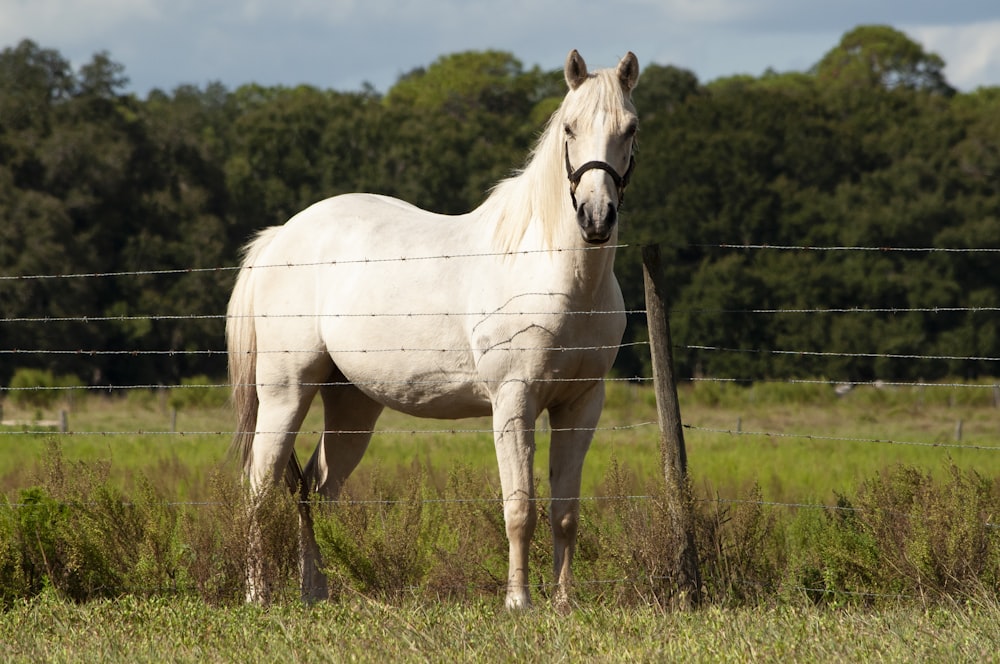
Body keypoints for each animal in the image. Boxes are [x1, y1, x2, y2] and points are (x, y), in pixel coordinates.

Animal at [229, 48, 640, 608]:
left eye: (630, 129)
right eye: (569, 128)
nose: (595, 218)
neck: (554, 272)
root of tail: (281, 236)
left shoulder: (581, 406)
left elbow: (565, 513)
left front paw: (563, 603)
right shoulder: (514, 402)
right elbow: (520, 509)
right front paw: (518, 602)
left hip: (352, 405)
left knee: (316, 489)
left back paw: (315, 590)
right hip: (285, 392)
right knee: (260, 488)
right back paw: (259, 594)